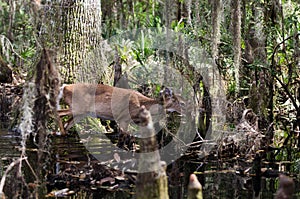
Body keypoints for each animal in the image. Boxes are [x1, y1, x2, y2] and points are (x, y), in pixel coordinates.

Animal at [55, 83, 184, 134]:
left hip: (80, 113)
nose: (184, 106)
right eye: (175, 100)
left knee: (67, 123)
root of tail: (64, 87)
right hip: (78, 108)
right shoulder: (123, 119)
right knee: (57, 112)